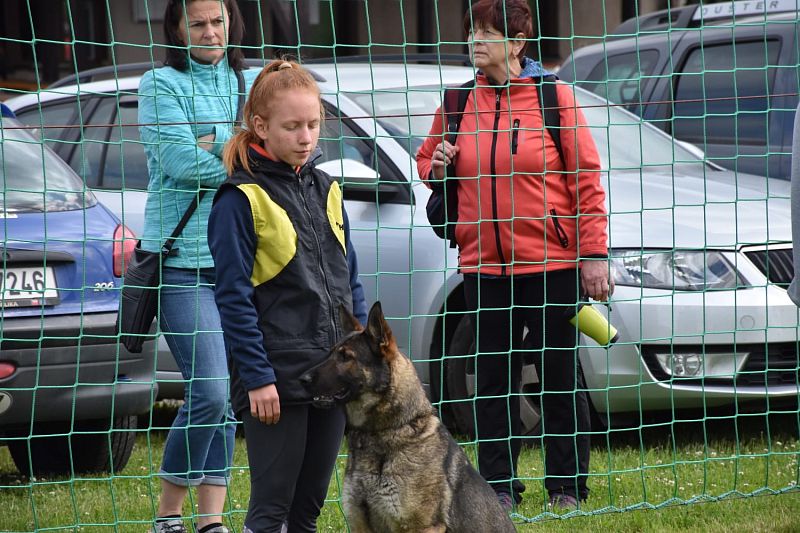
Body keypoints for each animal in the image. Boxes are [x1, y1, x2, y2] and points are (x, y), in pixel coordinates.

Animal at [296, 302, 516, 528]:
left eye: (346, 357)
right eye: (330, 353)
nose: (302, 379)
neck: (388, 429)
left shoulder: (424, 526)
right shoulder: (360, 523)